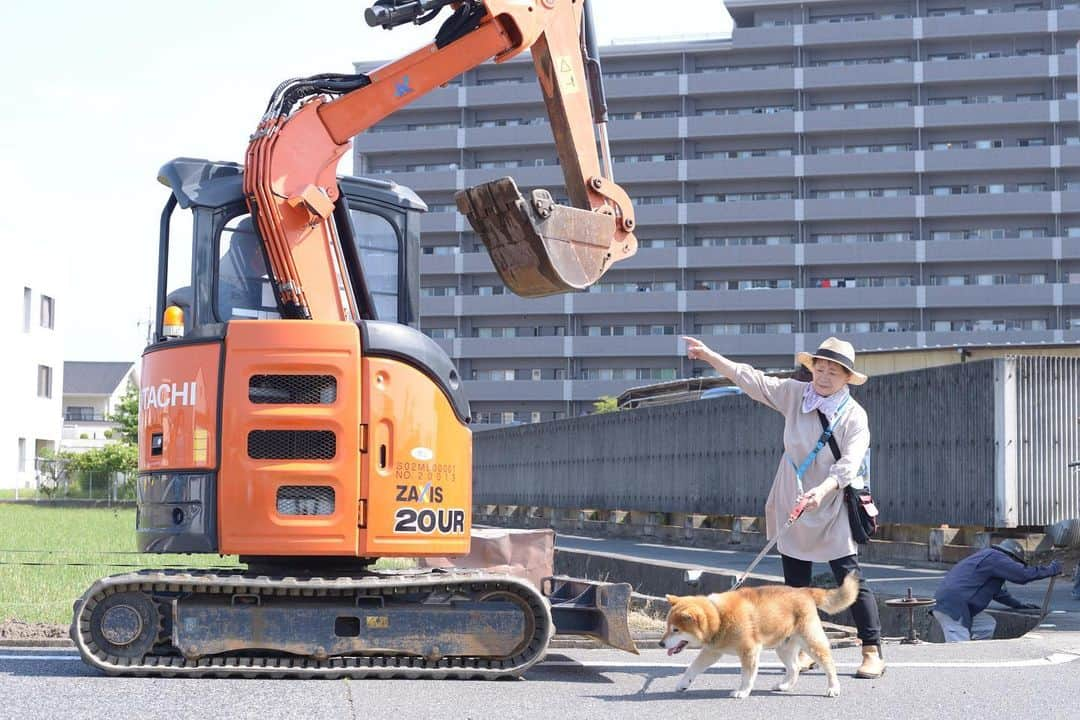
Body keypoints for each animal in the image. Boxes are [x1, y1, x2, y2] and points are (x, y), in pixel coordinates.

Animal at [656, 574, 859, 699]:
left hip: (810, 642)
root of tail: (804, 590)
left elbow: (747, 675)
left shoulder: (749, 651)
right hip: (783, 646)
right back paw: (784, 686)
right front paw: (683, 683)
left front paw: (743, 692)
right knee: (794, 668)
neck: (719, 617)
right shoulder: (712, 651)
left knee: (828, 663)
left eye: (676, 630)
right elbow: (693, 668)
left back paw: (833, 688)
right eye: (667, 627)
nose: (660, 643)